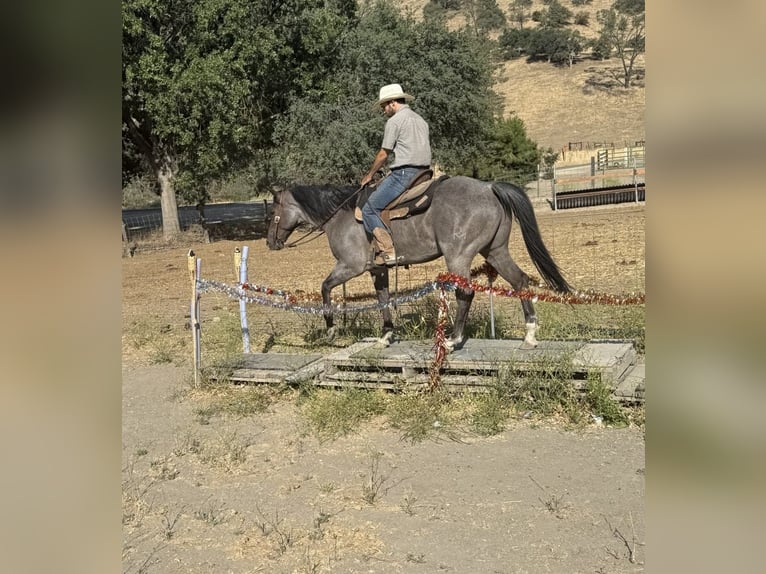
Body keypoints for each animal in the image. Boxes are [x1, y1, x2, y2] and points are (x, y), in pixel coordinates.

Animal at [266, 176, 571, 350]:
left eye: (273, 212)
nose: (271, 242)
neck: (340, 214)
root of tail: (489, 188)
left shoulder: (350, 266)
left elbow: (325, 288)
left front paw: (330, 329)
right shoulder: (378, 270)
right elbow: (383, 300)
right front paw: (386, 336)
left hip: (458, 255)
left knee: (466, 292)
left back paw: (453, 338)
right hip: (495, 251)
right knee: (520, 281)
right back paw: (529, 334)